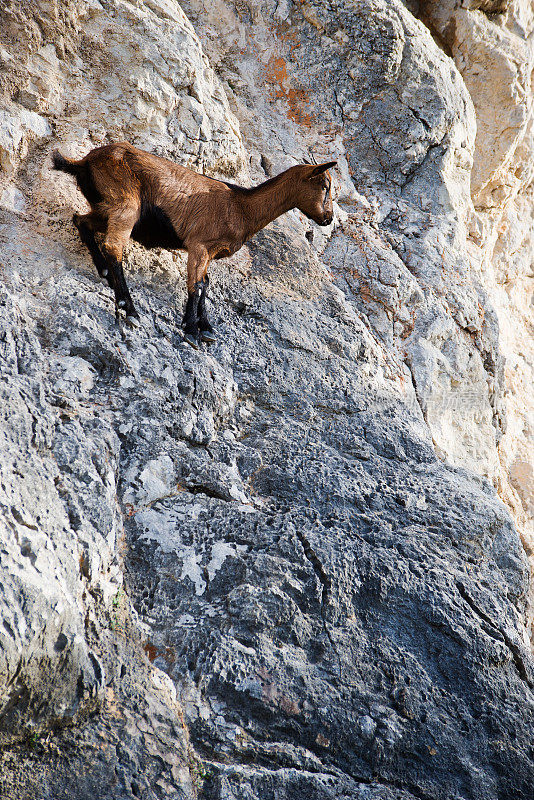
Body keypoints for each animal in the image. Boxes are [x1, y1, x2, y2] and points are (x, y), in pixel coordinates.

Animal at [52, 141, 338, 346]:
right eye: (325, 185)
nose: (328, 218)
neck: (241, 206)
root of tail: (85, 161)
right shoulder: (199, 245)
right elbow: (196, 285)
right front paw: (191, 331)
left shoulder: (209, 253)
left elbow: (205, 284)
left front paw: (207, 328)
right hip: (125, 204)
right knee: (113, 247)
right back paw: (129, 309)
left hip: (106, 208)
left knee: (81, 221)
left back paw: (104, 272)